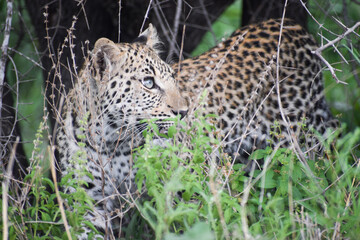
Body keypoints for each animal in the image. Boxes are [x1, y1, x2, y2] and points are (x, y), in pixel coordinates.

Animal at [54, 18, 336, 238]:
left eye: (172, 78)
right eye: (148, 82)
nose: (184, 112)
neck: (113, 140)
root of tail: (291, 26)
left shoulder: (192, 186)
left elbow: (200, 224)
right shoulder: (88, 202)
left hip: (299, 143)